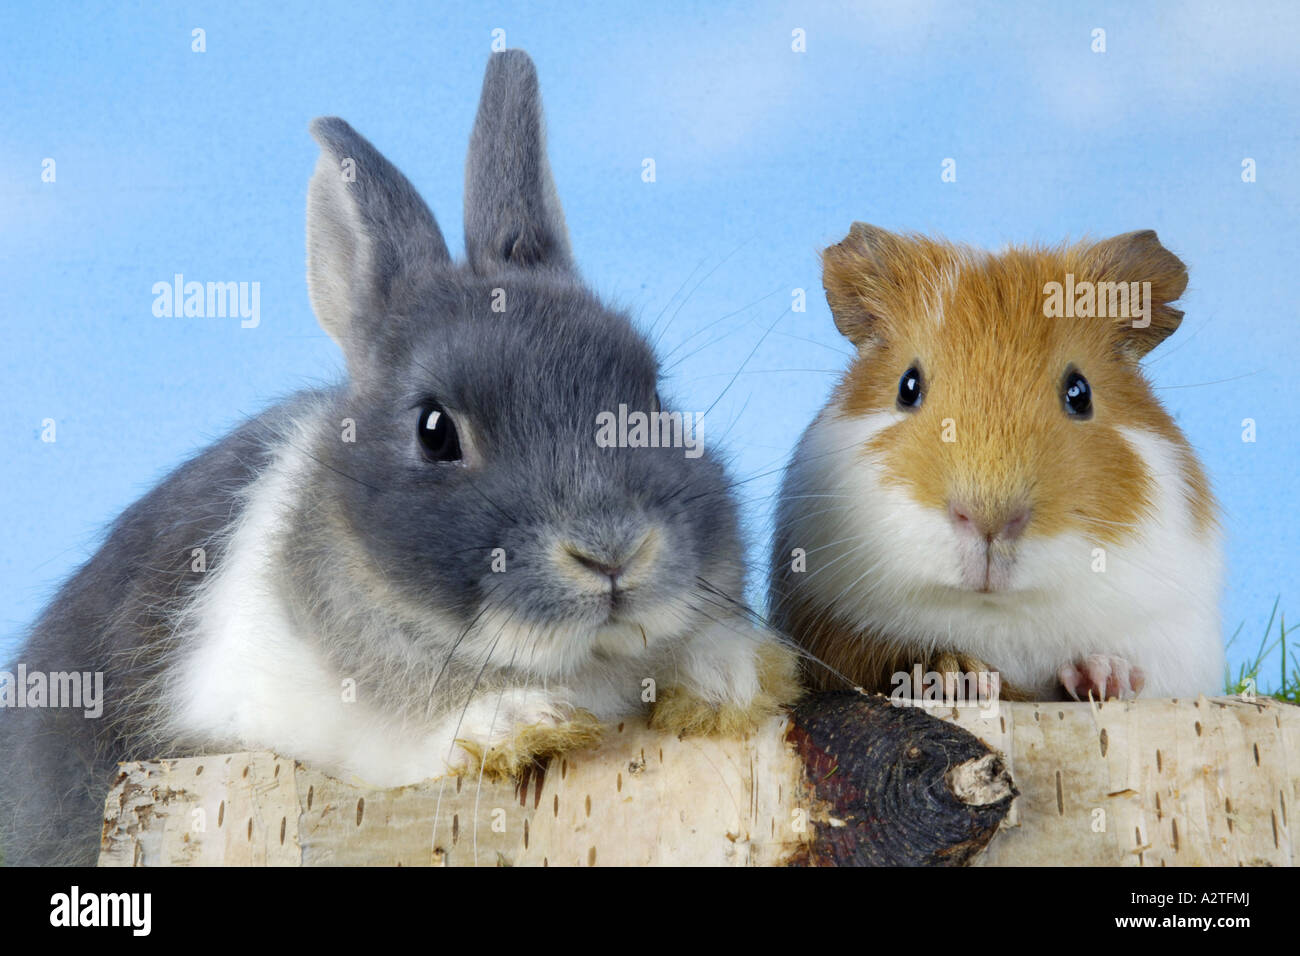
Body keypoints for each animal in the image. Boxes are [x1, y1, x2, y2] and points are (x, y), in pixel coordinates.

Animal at [0, 48, 795, 863]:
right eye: (435, 430)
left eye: (653, 391)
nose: (612, 552)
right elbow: (400, 748)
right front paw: (519, 722)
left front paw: (729, 679)